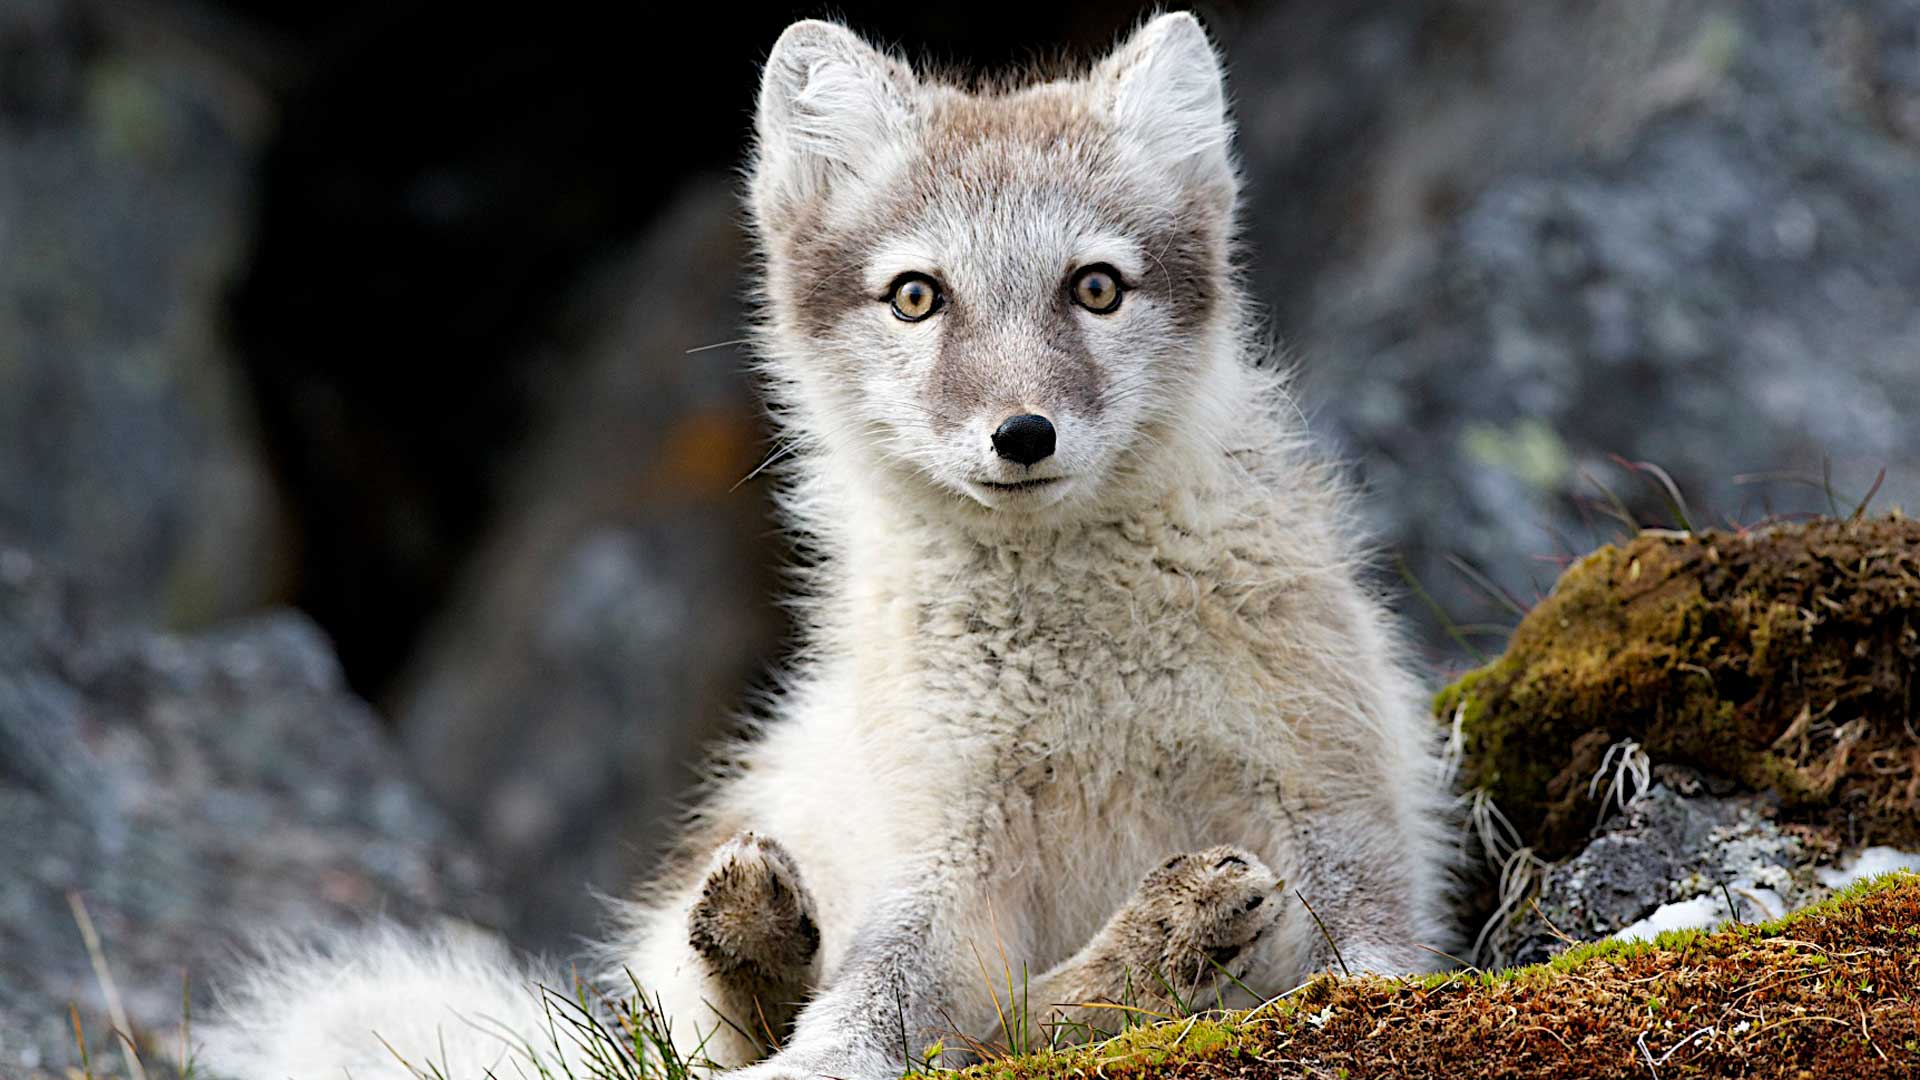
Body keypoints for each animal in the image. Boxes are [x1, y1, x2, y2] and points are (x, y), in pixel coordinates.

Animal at [203, 13, 1454, 1080]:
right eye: (916, 297)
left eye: (1095, 288)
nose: (1022, 434)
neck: (1089, 681)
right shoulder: (945, 843)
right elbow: (882, 995)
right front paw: (824, 1052)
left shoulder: (1333, 803)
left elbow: (1365, 962)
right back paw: (772, 937)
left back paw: (1174, 939)